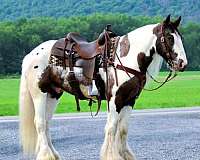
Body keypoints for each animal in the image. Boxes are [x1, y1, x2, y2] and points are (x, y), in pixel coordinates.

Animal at [19, 14, 188, 159]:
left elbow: (123, 129)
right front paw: (112, 155)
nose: (182, 64)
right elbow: (112, 127)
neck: (125, 58)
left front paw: (125, 155)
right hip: (40, 94)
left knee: (47, 123)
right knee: (40, 122)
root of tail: (31, 55)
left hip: (53, 94)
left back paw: (54, 155)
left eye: (180, 38)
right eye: (169, 37)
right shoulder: (115, 99)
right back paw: (47, 155)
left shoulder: (130, 100)